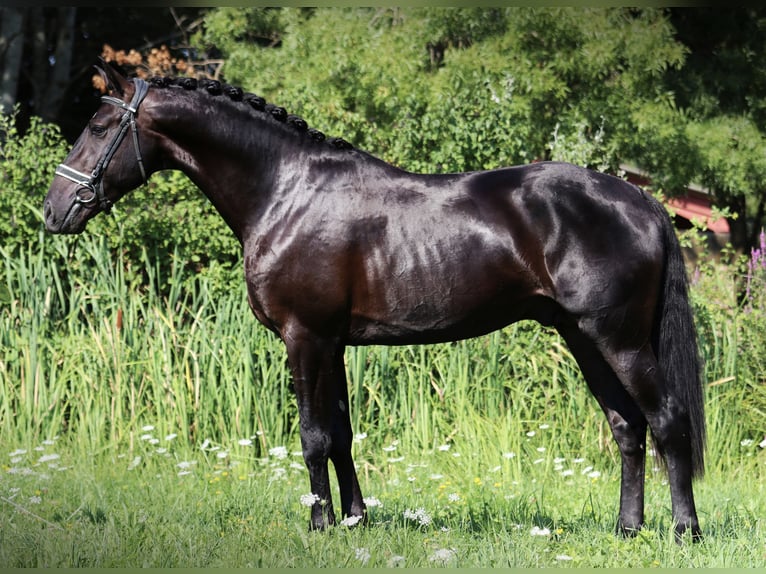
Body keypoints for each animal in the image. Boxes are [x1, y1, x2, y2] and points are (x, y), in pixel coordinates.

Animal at [45, 62, 708, 540]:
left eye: (99, 128)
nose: (53, 211)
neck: (285, 191)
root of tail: (639, 201)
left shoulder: (305, 337)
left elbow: (313, 435)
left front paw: (318, 525)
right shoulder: (332, 343)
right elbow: (340, 433)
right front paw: (355, 519)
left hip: (619, 339)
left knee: (667, 420)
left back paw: (684, 531)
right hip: (583, 337)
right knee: (627, 426)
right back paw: (627, 530)